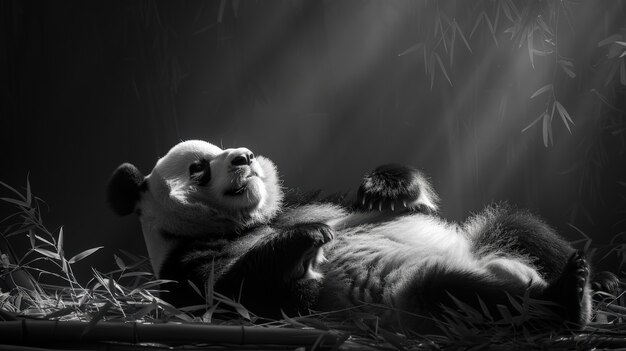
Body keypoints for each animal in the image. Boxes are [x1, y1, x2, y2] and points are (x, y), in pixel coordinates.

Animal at [107, 140, 600, 332]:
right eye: (199, 168)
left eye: (226, 147)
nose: (245, 157)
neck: (246, 223)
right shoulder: (184, 266)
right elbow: (238, 297)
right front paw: (309, 238)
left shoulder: (295, 200)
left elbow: (362, 201)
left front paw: (384, 189)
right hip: (410, 297)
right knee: (454, 294)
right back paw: (562, 301)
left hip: (486, 236)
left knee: (518, 226)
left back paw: (577, 283)